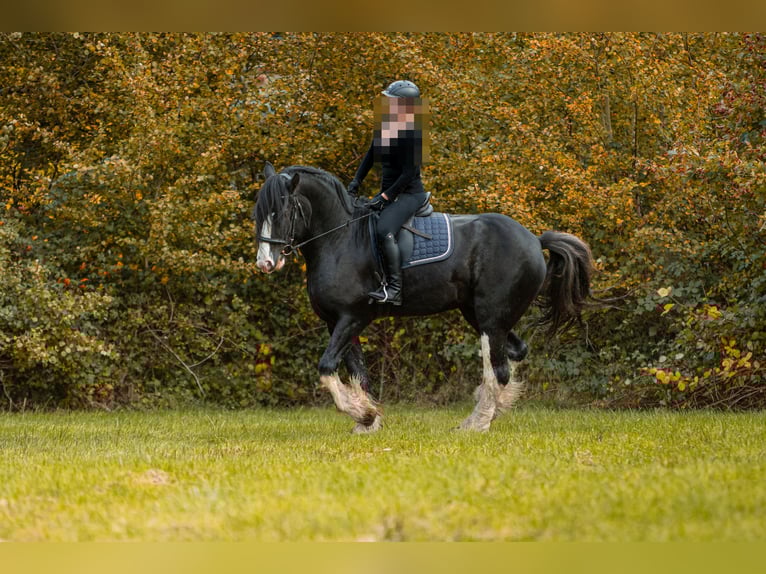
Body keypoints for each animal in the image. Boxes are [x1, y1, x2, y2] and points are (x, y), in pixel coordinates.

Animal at [253, 162, 594, 433]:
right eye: (259, 213)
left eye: (282, 212)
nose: (265, 263)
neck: (339, 238)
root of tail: (535, 240)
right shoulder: (338, 323)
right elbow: (358, 373)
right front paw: (369, 420)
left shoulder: (353, 317)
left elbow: (326, 368)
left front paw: (363, 414)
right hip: (478, 313)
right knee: (515, 353)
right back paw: (486, 412)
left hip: (490, 317)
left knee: (497, 367)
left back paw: (478, 423)